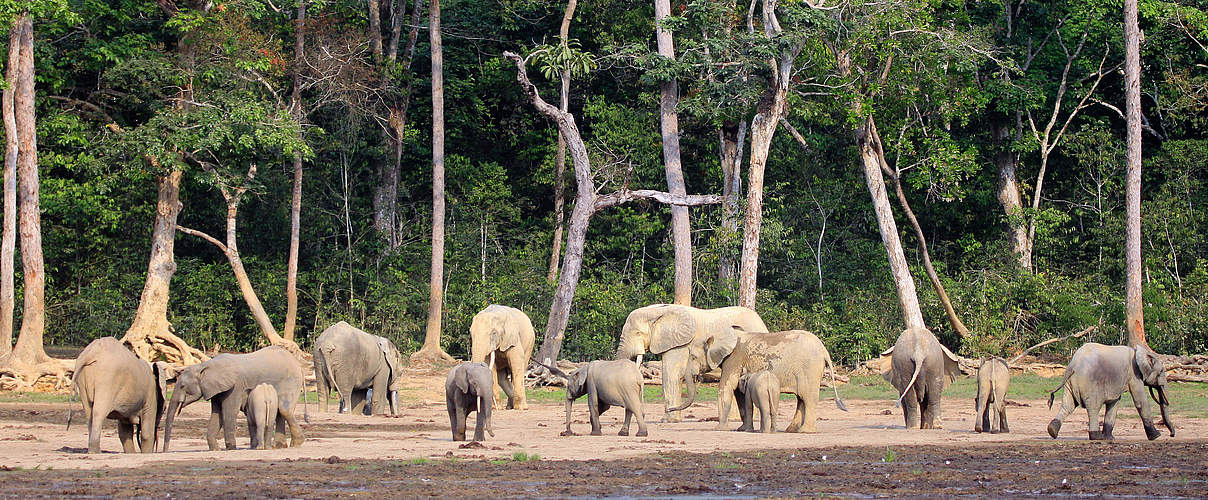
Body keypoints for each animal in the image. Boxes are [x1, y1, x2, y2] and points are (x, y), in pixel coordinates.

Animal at [164, 345, 306, 451]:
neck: (204, 366)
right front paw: (215, 449)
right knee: (280, 411)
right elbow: (217, 414)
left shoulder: (235, 386)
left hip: (291, 381)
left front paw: (231, 448)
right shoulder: (216, 389)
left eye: (182, 386)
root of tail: (298, 364)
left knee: (284, 409)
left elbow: (229, 412)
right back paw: (279, 446)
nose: (165, 451)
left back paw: (296, 443)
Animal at [676, 330, 845, 432]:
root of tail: (824, 350)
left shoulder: (734, 358)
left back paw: (805, 431)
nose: (670, 409)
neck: (719, 332)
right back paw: (792, 430)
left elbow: (726, 387)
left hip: (809, 369)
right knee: (801, 398)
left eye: (693, 357)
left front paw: (720, 429)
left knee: (808, 398)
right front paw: (742, 429)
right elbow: (738, 393)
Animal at [1043, 342, 1174, 442]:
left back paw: (1052, 431)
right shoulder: (1134, 376)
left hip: (1070, 383)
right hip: (1090, 383)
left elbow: (1114, 402)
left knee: (1068, 406)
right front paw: (1157, 436)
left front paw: (1110, 438)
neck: (1140, 352)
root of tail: (1073, 365)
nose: (1172, 434)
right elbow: (1141, 402)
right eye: (1161, 371)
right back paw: (1096, 437)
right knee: (1093, 408)